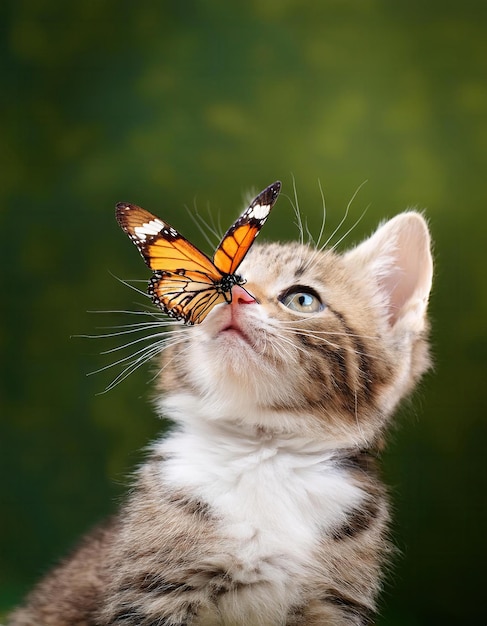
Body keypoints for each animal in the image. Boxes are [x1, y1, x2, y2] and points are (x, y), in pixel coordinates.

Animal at [8, 202, 434, 620]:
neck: (263, 451)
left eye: (302, 299)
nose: (236, 297)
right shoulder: (152, 593)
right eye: (232, 276)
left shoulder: (333, 603)